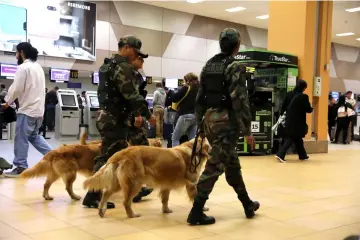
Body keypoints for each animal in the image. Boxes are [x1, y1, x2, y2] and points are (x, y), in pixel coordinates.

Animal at [82, 137, 210, 218]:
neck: (192, 149)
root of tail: (120, 153)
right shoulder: (192, 183)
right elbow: (196, 197)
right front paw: (201, 209)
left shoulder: (166, 185)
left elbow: (165, 199)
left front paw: (166, 210)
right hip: (134, 183)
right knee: (126, 202)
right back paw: (132, 215)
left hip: (119, 183)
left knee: (106, 193)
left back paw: (101, 210)